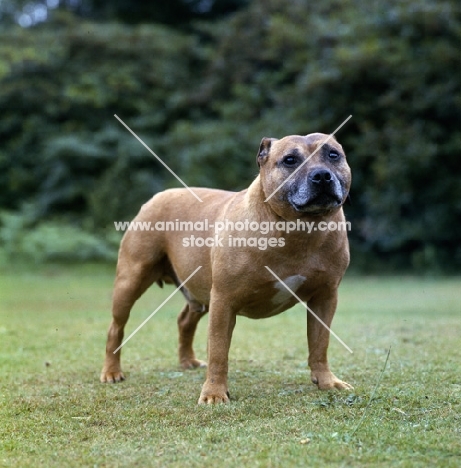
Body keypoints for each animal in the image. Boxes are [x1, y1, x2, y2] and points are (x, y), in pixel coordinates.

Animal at [100, 132, 352, 402]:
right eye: (290, 160)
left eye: (333, 155)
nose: (322, 175)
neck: (300, 229)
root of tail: (157, 196)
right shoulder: (224, 299)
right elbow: (219, 350)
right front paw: (214, 393)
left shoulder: (324, 298)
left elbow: (320, 343)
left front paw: (327, 381)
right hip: (130, 281)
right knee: (116, 327)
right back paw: (112, 372)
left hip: (198, 289)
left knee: (185, 320)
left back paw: (187, 362)